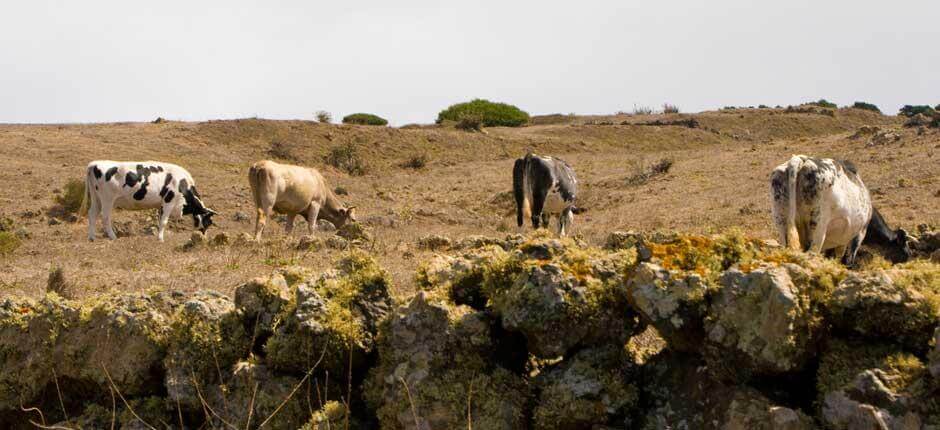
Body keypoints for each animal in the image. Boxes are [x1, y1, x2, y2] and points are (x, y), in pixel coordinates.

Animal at [81, 161, 217, 242]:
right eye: (208, 222)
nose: (204, 236)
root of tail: (95, 163)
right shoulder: (169, 201)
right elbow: (164, 222)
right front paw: (161, 239)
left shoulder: (160, 205)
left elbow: (159, 220)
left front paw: (158, 236)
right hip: (107, 199)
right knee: (105, 217)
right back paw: (113, 237)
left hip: (96, 198)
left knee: (92, 214)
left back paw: (92, 237)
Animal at [768, 153, 908, 264]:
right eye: (904, 247)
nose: (908, 258)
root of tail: (801, 159)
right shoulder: (858, 235)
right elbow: (847, 260)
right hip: (817, 228)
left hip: (782, 221)